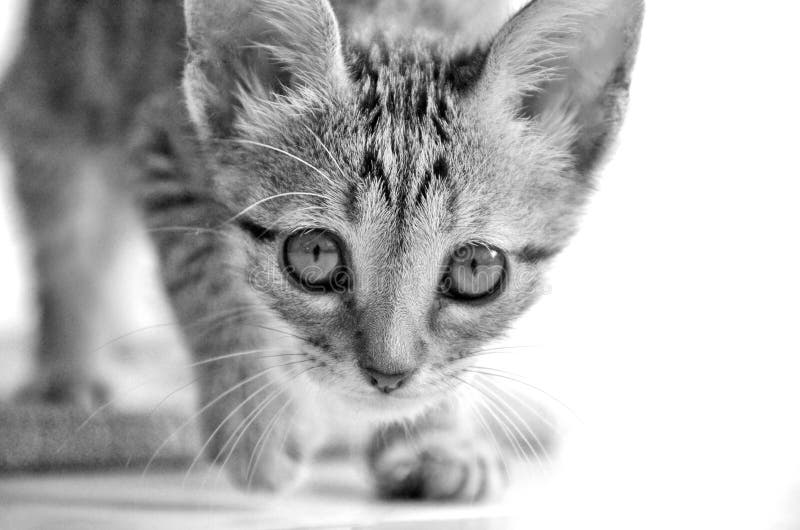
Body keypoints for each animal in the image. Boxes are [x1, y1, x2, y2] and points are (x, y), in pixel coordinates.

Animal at [0, 0, 644, 496]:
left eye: (476, 268)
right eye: (314, 255)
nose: (389, 375)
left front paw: (435, 437)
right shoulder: (162, 136)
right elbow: (209, 280)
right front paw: (255, 412)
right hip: (58, 95)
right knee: (68, 246)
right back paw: (69, 373)